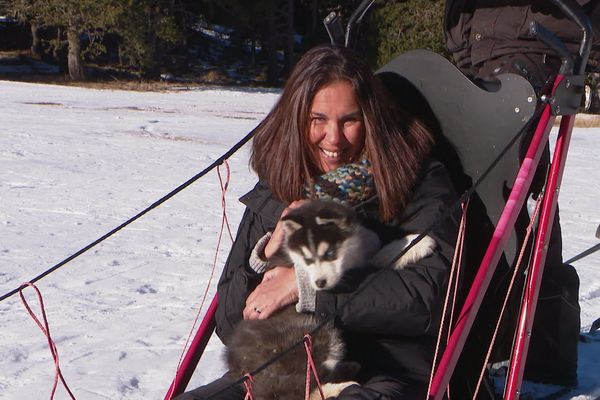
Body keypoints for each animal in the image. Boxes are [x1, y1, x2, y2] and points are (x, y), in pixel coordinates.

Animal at [225, 202, 436, 398]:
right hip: (314, 336)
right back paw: (342, 385)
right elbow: (381, 258)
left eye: (330, 253)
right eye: (308, 258)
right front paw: (418, 243)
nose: (320, 283)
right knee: (304, 390)